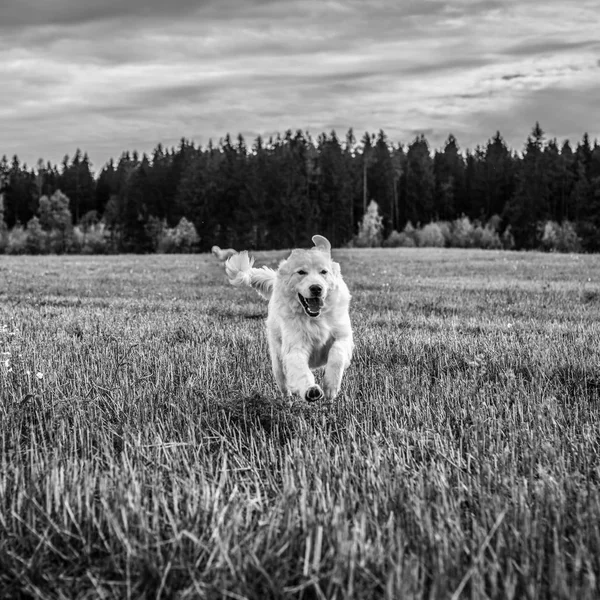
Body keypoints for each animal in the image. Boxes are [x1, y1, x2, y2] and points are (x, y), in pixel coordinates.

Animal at [227, 234, 354, 404]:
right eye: (301, 272)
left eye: (323, 272)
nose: (316, 288)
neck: (314, 318)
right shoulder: (295, 348)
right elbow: (300, 370)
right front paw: (311, 390)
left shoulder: (343, 336)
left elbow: (337, 354)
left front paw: (331, 387)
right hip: (277, 360)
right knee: (284, 383)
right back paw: (288, 400)